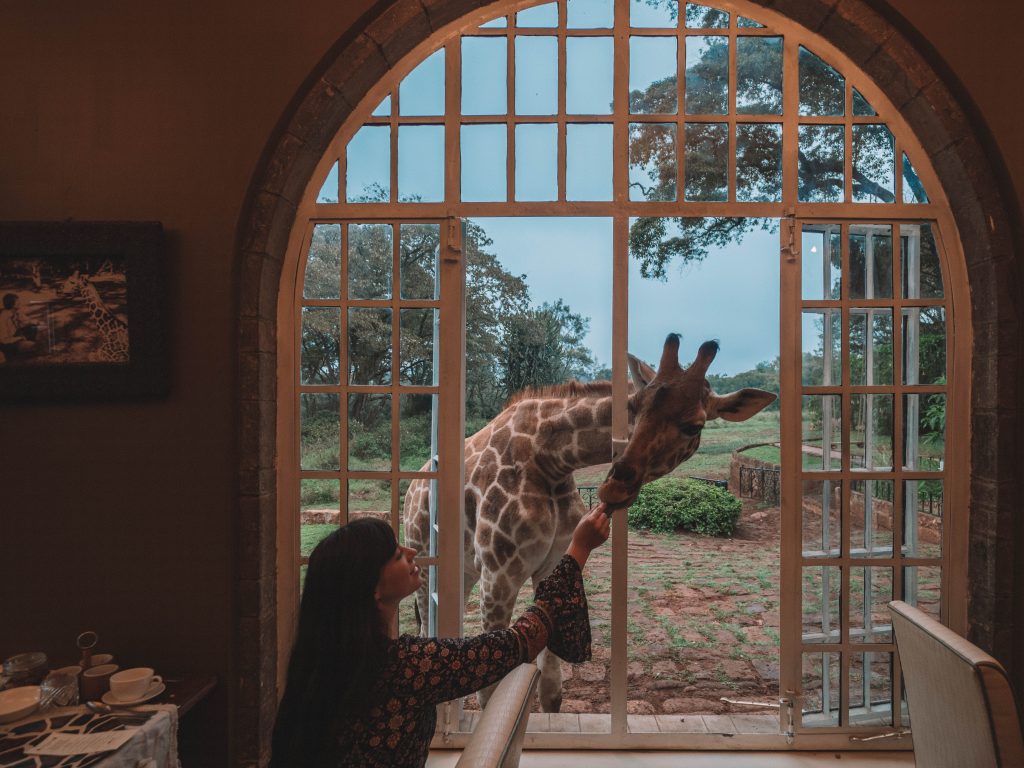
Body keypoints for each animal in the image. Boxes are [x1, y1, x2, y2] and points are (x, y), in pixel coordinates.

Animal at [403, 333, 776, 712]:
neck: (549, 461)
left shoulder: (547, 565)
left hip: (463, 569)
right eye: (634, 406)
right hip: (423, 560)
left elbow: (551, 689)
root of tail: (415, 483)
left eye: (694, 426)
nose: (613, 487)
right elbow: (490, 694)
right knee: (426, 629)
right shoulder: (499, 574)